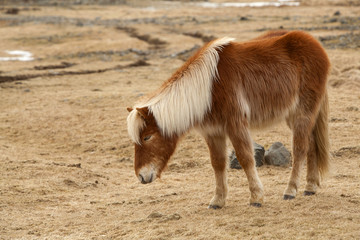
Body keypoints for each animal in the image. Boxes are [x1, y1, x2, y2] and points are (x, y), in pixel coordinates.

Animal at [126, 30, 330, 208]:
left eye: (147, 137)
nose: (141, 176)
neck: (209, 89)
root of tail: (316, 44)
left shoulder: (236, 125)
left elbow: (246, 158)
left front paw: (256, 197)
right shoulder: (213, 132)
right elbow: (217, 163)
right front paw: (218, 200)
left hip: (303, 112)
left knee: (300, 148)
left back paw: (291, 190)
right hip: (292, 115)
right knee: (311, 145)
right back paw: (310, 187)